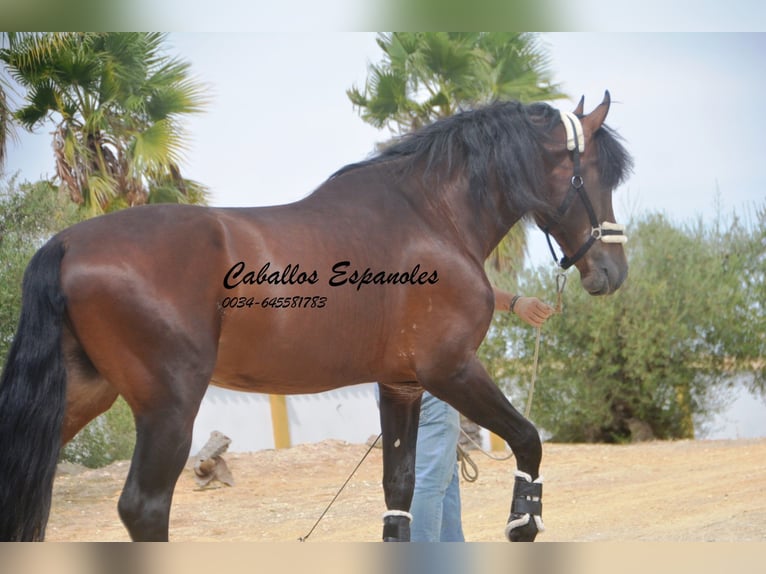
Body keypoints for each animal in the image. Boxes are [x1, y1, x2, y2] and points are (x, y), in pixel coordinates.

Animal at [0, 92, 632, 544]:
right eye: (595, 173)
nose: (613, 271)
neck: (430, 215)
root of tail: (65, 243)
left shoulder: (400, 385)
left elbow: (398, 493)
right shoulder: (452, 370)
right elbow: (528, 441)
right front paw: (524, 522)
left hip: (82, 396)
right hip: (168, 406)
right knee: (145, 509)